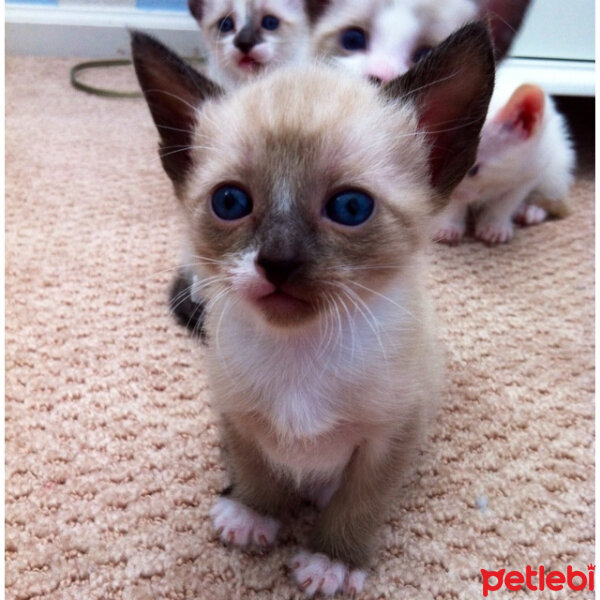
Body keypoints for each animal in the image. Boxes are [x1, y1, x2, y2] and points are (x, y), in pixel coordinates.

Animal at [130, 22, 492, 596]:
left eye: (350, 208)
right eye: (230, 202)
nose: (278, 263)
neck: (299, 353)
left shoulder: (391, 438)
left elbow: (358, 503)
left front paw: (331, 560)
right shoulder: (238, 415)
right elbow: (256, 467)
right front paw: (254, 514)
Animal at [434, 71, 576, 246]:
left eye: (472, 170)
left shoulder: (531, 170)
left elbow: (507, 201)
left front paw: (494, 226)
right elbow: (454, 205)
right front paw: (448, 226)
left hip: (557, 164)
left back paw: (531, 210)